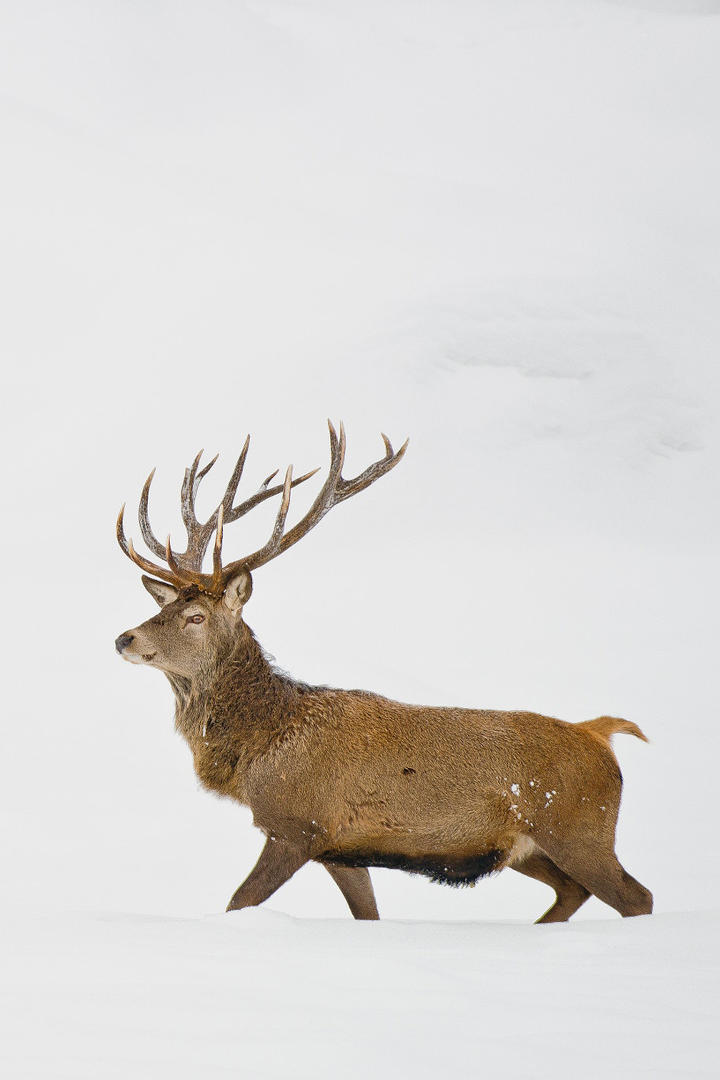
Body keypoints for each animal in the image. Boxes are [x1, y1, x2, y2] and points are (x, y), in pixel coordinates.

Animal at [115, 422, 653, 923]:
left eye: (195, 617)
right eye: (163, 607)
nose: (125, 638)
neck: (258, 751)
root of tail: (600, 735)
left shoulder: (298, 825)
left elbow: (237, 902)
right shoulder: (341, 849)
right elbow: (367, 913)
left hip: (579, 830)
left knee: (636, 897)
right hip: (532, 848)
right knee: (574, 891)